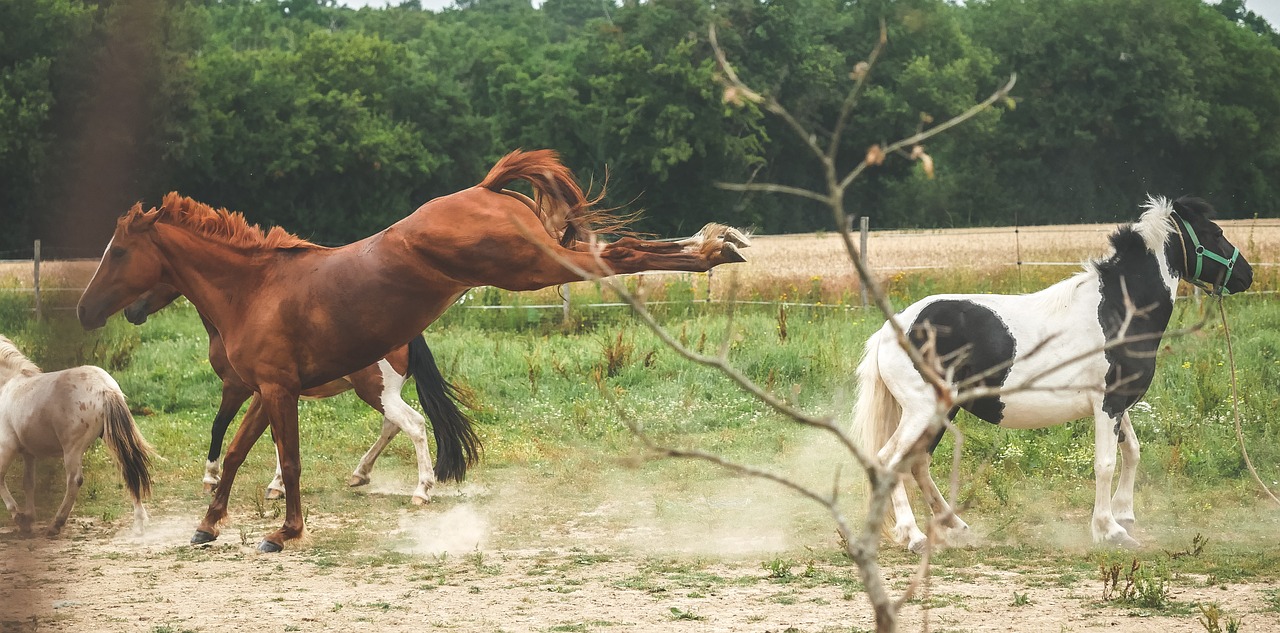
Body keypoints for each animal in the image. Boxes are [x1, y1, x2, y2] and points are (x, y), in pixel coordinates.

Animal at [0, 335, 154, 537]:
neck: (8, 384)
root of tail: (105, 388)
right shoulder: (28, 453)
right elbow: (28, 483)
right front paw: (28, 519)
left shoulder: (7, 446)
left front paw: (19, 517)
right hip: (113, 439)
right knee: (130, 469)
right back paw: (139, 523)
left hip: (72, 448)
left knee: (74, 480)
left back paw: (56, 524)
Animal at [119, 285, 471, 508]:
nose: (130, 311)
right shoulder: (271, 394)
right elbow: (278, 438)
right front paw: (276, 486)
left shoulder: (238, 388)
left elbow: (219, 426)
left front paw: (211, 478)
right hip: (383, 393)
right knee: (393, 426)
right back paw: (360, 474)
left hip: (377, 391)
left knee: (414, 424)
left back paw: (421, 491)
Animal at [855, 195, 1254, 552]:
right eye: (1215, 232)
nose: (1247, 275)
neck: (1118, 312)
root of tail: (892, 329)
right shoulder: (1108, 404)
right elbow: (1105, 463)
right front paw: (1110, 531)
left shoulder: (1118, 404)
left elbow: (1132, 452)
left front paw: (1125, 516)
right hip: (921, 411)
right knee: (889, 462)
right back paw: (914, 537)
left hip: (942, 410)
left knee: (918, 463)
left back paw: (957, 526)